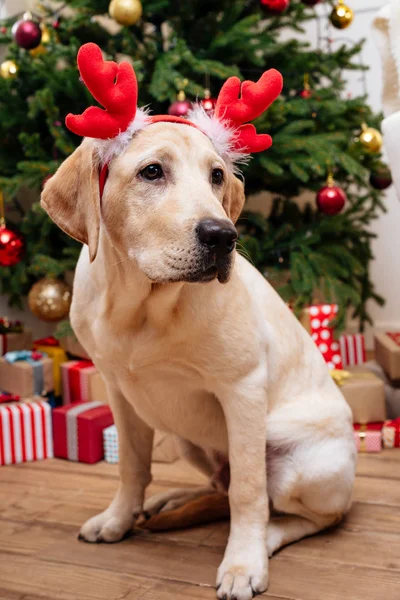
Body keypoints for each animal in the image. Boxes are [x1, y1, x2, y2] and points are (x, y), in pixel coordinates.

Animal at [42, 123, 356, 600]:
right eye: (152, 171)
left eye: (217, 176)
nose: (223, 236)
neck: (141, 308)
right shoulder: (118, 390)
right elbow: (132, 467)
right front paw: (118, 519)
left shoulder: (242, 389)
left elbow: (247, 491)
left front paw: (244, 562)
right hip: (186, 437)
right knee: (217, 488)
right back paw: (170, 503)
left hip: (302, 466)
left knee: (301, 512)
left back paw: (265, 538)